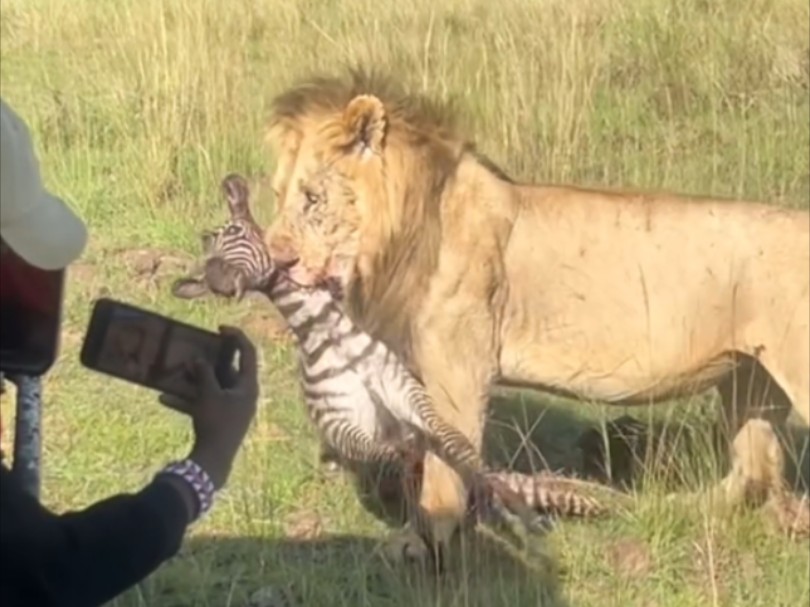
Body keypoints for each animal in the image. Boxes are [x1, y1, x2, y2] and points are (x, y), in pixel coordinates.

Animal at [262, 70, 804, 560]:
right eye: (277, 195)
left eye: (312, 198)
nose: (273, 260)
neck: (403, 235)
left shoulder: (457, 370)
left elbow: (440, 465)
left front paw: (424, 542)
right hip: (748, 378)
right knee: (754, 469)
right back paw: (670, 507)